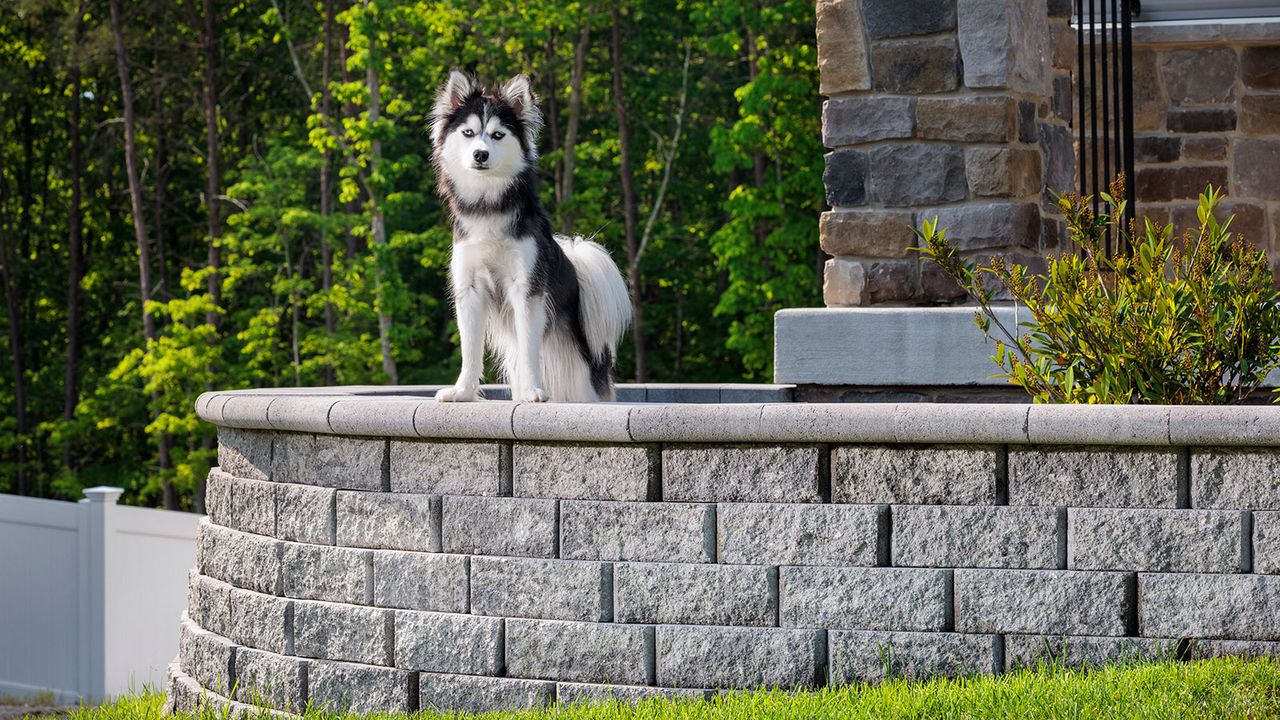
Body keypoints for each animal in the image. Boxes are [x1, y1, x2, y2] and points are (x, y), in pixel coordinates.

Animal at [430, 71, 629, 404]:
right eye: (469, 132)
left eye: (498, 135)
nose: (480, 154)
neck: (488, 206)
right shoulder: (469, 287)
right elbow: (470, 349)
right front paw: (463, 392)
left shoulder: (526, 287)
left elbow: (528, 348)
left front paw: (531, 391)